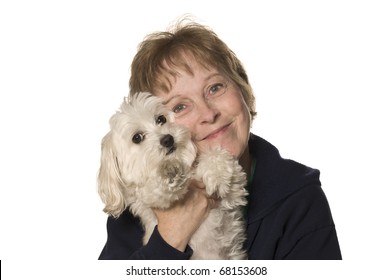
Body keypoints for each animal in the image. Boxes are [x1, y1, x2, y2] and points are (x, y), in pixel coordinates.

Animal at [97, 92, 248, 260]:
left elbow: (224, 174)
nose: (167, 139)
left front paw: (217, 173)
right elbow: (154, 191)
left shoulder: (231, 197)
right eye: (137, 138)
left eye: (161, 119)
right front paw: (168, 173)